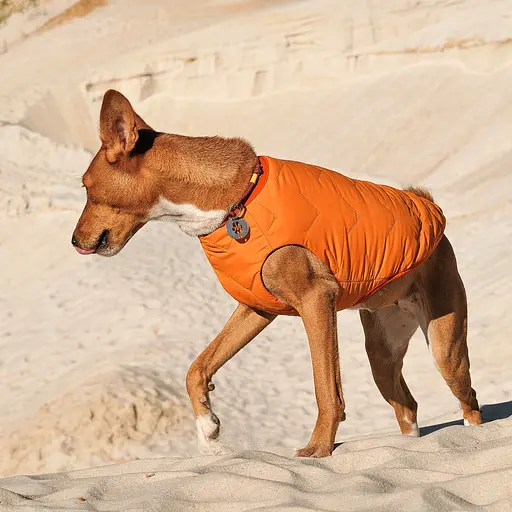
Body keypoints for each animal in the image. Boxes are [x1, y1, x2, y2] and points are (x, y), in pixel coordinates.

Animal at [73, 90, 484, 458]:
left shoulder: (316, 302)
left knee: (470, 398)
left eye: (86, 187)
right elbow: (197, 368)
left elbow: (326, 389)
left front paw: (318, 449)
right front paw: (208, 428)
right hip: (382, 353)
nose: (75, 240)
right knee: (407, 407)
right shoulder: (257, 309)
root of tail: (427, 205)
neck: (236, 200)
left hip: (445, 348)